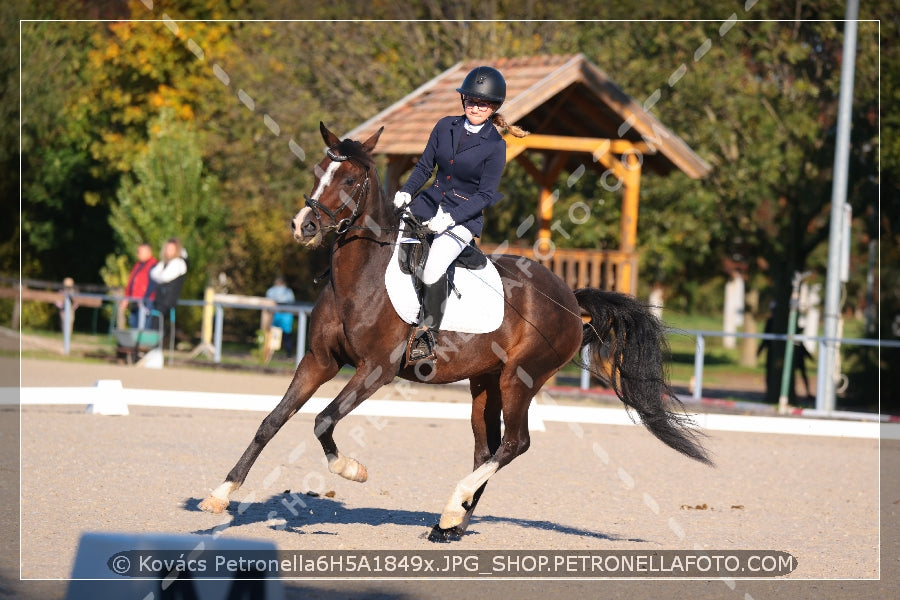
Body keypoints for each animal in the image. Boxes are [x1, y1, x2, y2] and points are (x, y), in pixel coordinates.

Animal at [199, 123, 712, 544]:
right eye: (318, 171)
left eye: (348, 180)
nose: (303, 226)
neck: (359, 276)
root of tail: (568, 297)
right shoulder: (320, 361)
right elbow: (272, 421)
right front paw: (220, 495)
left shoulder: (375, 370)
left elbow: (323, 420)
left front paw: (353, 471)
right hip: (484, 382)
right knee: (487, 446)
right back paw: (452, 523)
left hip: (521, 378)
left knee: (514, 444)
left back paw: (451, 510)